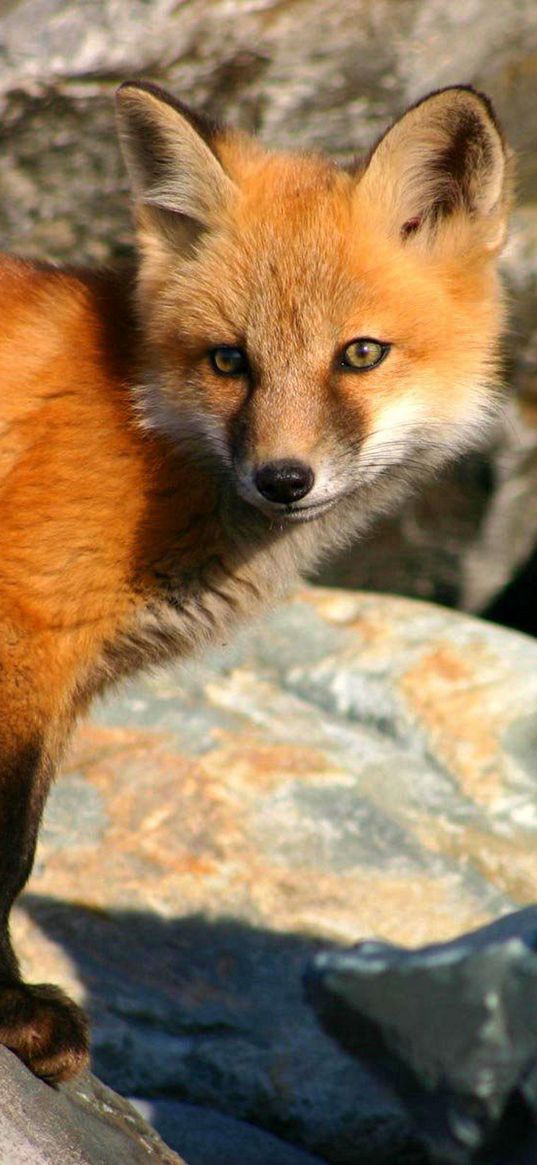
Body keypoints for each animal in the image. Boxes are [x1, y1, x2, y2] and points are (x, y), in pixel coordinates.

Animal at [0, 84, 510, 1081]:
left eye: (359, 354)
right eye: (229, 360)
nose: (282, 479)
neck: (143, 426)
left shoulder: (65, 687)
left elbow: (26, 848)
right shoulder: (27, 631)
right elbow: (0, 853)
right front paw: (7, 1011)